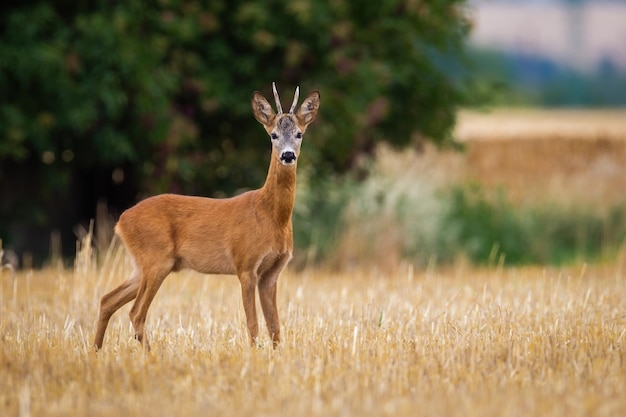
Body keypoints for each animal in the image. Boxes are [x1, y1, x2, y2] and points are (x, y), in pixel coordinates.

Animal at [95, 83, 320, 350]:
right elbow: (253, 324)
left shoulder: (272, 272)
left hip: (143, 265)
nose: (287, 155)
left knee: (107, 299)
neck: (270, 216)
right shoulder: (245, 264)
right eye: (273, 135)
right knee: (136, 312)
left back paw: (95, 350)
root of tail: (121, 221)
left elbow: (275, 328)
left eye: (299, 134)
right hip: (156, 259)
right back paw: (149, 354)